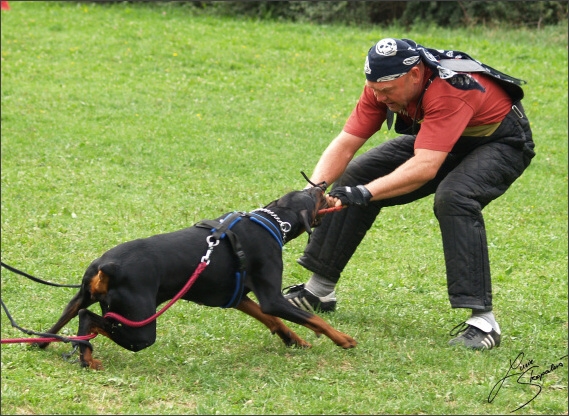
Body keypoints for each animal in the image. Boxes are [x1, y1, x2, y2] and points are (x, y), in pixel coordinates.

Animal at [37, 187, 356, 368]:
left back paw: (50, 345)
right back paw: (87, 359)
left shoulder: (238, 297)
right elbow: (311, 318)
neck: (271, 222)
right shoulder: (272, 297)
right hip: (141, 329)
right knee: (89, 319)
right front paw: (343, 339)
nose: (326, 185)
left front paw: (295, 340)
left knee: (60, 326)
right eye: (316, 196)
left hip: (80, 298)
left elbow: (273, 320)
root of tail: (107, 265)